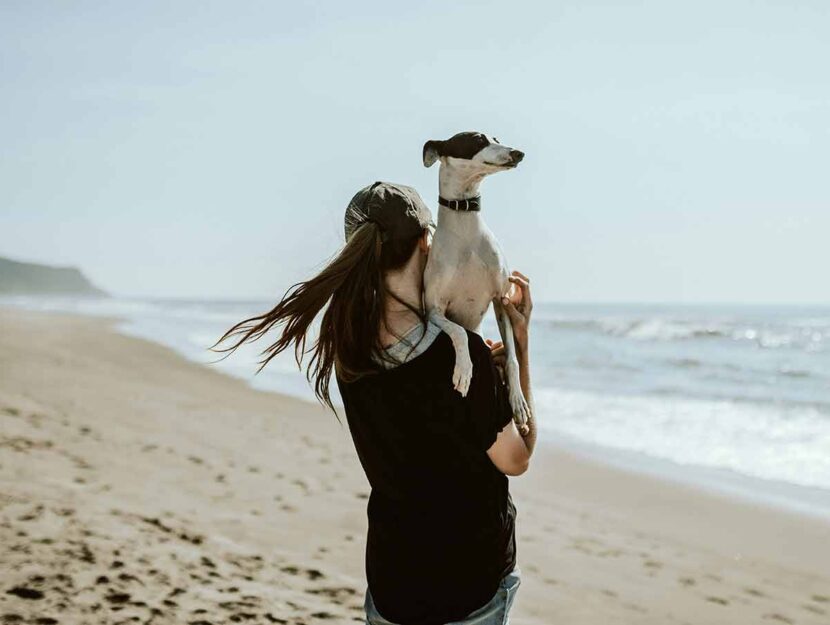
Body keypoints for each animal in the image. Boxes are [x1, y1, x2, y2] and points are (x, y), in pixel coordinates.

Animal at [422, 129, 532, 426]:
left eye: (497, 139)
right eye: (478, 139)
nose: (519, 153)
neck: (466, 231)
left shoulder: (500, 300)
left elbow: (513, 359)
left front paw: (518, 401)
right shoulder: (433, 310)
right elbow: (459, 332)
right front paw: (464, 370)